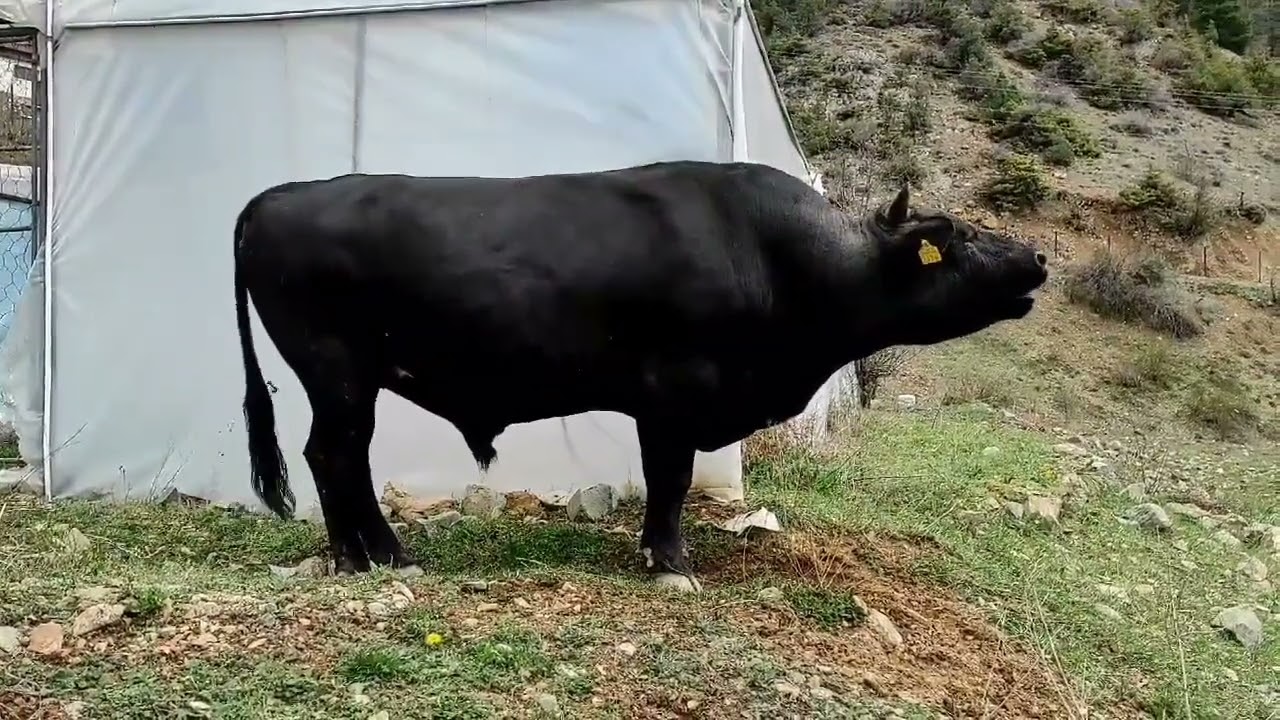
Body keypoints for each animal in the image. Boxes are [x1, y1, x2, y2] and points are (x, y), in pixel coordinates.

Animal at [233, 160, 1048, 590]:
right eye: (961, 238)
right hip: (337, 371)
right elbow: (672, 480)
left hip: (344, 377)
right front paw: (669, 562)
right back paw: (373, 557)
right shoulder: (673, 396)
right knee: (334, 453)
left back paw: (373, 552)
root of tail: (274, 196)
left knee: (337, 454)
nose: (1037, 257)